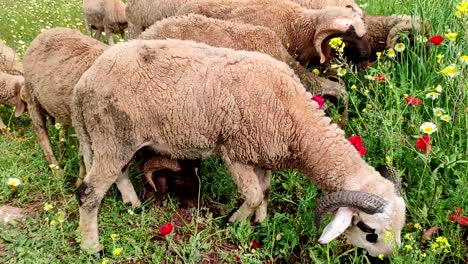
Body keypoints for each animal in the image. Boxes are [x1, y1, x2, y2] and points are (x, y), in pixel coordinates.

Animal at [20, 27, 107, 167]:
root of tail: (49, 30)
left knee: (62, 132)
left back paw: (63, 158)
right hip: (32, 96)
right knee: (41, 131)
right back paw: (56, 169)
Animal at [71, 38, 404, 256]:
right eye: (369, 232)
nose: (389, 257)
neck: (296, 120)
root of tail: (84, 82)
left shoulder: (264, 155)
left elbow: (265, 191)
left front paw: (261, 223)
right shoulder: (235, 153)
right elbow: (253, 195)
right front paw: (233, 221)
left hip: (106, 138)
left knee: (117, 174)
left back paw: (133, 205)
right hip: (112, 133)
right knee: (89, 193)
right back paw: (92, 247)